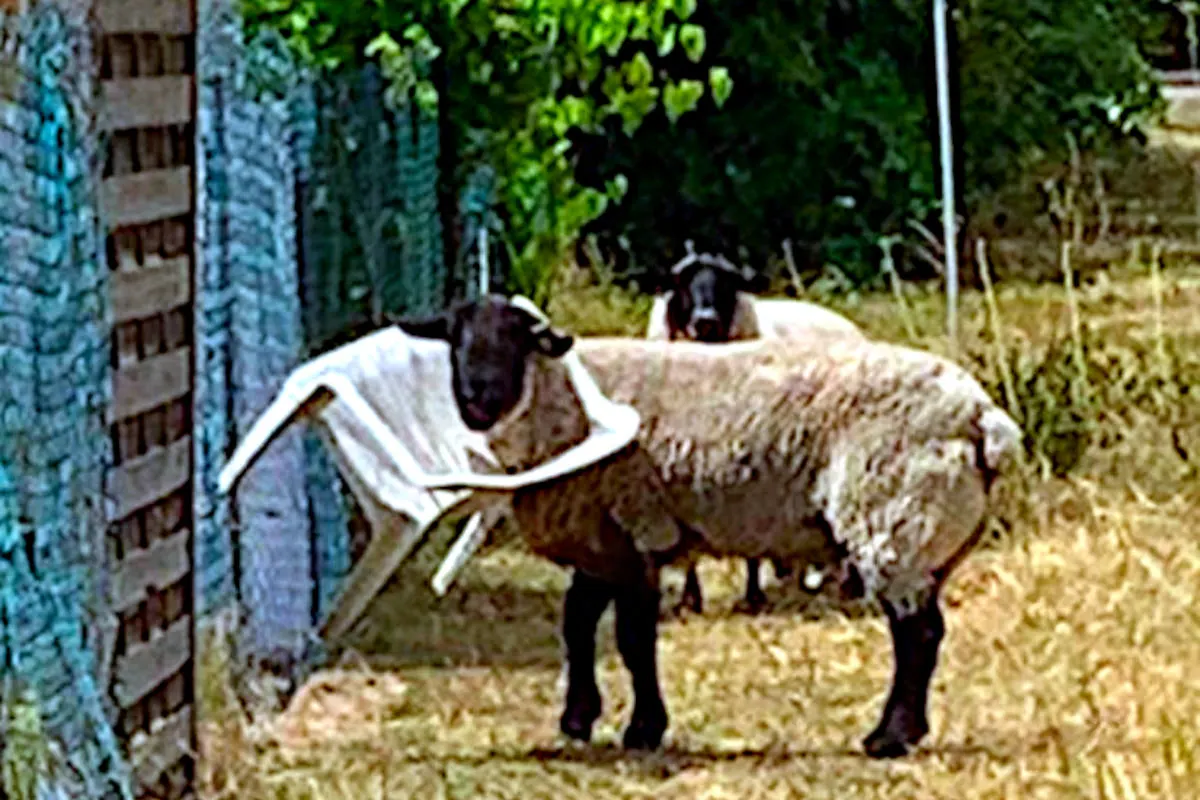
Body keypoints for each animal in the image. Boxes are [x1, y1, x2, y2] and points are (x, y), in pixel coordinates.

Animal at [395, 295, 1023, 759]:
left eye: (513, 340)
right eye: (455, 339)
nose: (476, 399)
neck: (561, 403)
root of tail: (983, 417)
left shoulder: (637, 528)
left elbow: (632, 639)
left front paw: (643, 729)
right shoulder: (602, 540)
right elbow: (577, 625)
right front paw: (578, 718)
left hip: (893, 517)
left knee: (917, 635)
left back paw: (889, 736)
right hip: (926, 535)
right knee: (925, 632)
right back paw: (904, 731)